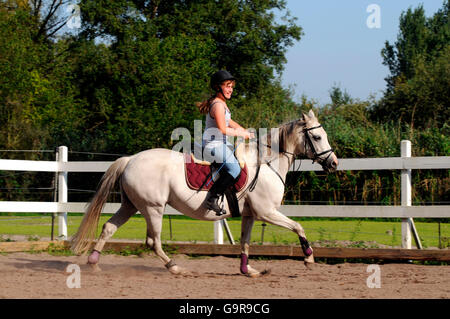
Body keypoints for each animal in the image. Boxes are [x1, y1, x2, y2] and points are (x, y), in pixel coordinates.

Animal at [71, 110, 338, 278]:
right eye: (316, 136)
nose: (334, 163)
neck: (267, 163)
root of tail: (131, 159)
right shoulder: (267, 212)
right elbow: (298, 227)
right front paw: (309, 258)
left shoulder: (250, 215)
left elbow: (245, 242)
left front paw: (248, 271)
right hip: (152, 208)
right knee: (153, 242)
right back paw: (175, 268)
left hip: (131, 205)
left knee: (109, 227)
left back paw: (93, 264)